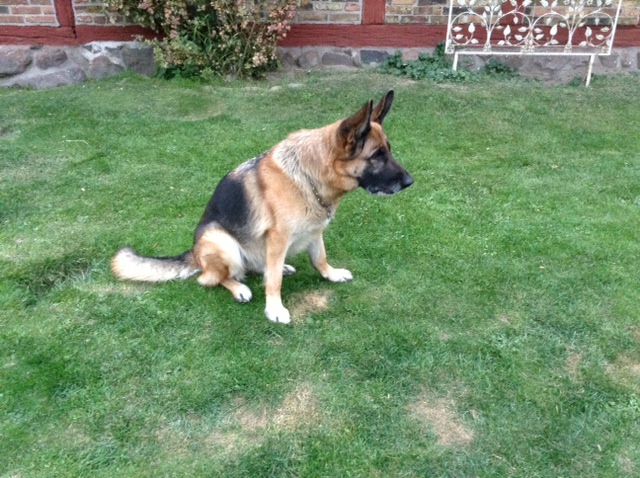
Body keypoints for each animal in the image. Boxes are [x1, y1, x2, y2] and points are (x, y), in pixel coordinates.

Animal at [111, 90, 413, 324]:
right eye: (377, 156)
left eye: (389, 150)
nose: (410, 182)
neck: (308, 175)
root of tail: (194, 253)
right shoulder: (279, 238)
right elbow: (275, 283)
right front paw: (275, 309)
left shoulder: (314, 231)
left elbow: (319, 258)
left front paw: (332, 274)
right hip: (223, 242)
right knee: (214, 278)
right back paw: (239, 288)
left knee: (259, 267)